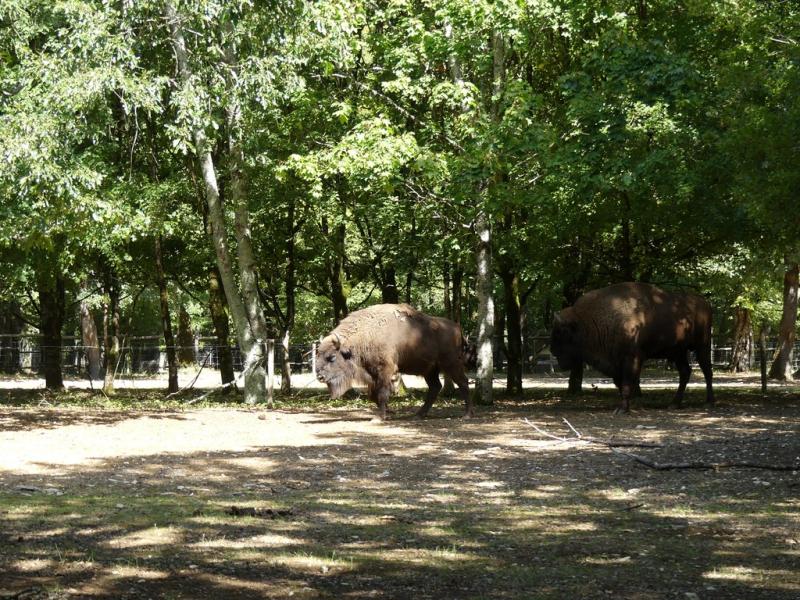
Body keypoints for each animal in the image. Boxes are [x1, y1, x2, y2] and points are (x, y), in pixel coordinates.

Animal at [315, 303, 472, 420]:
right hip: (430, 370)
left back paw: (466, 415)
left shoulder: (385, 370)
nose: (320, 376)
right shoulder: (372, 374)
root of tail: (457, 327)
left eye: (332, 357)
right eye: (318, 354)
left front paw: (379, 417)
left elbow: (382, 392)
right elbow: (373, 395)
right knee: (435, 387)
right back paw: (419, 415)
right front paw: (389, 412)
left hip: (451, 365)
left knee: (463, 383)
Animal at [550, 282, 714, 412]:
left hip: (702, 346)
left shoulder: (632, 358)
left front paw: (622, 409)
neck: (587, 322)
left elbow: (627, 383)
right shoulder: (616, 363)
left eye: (560, 332)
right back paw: (674, 404)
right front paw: (630, 406)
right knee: (685, 372)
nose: (552, 350)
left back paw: (709, 402)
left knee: (707, 371)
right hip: (678, 352)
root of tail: (704, 303)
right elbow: (621, 384)